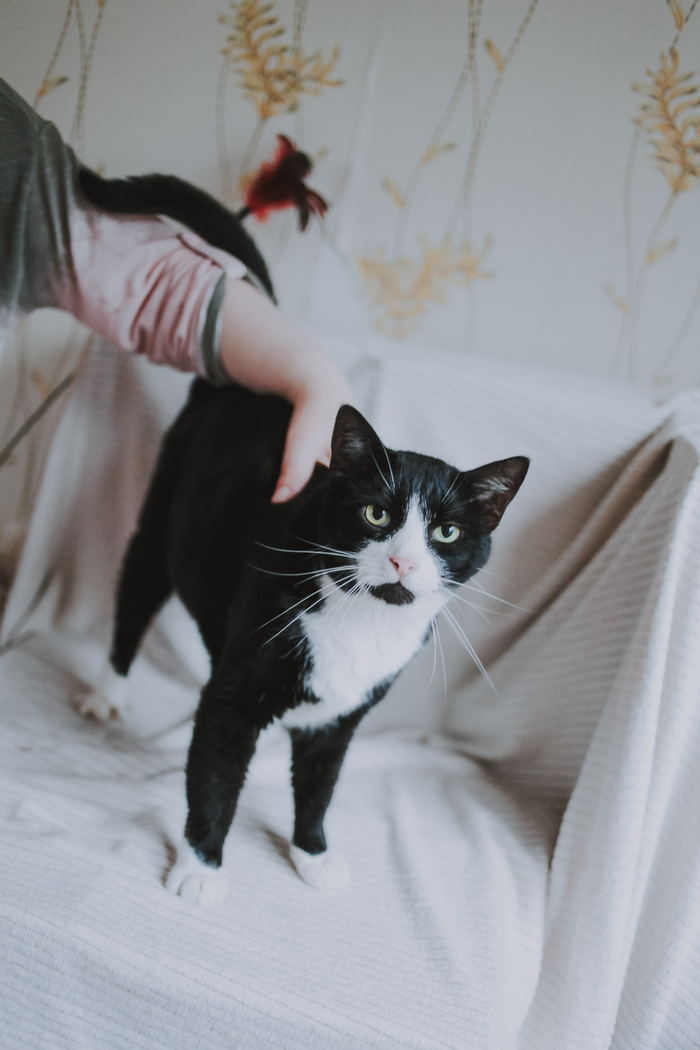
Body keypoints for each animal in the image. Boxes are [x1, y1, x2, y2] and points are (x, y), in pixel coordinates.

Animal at [77, 169, 529, 906]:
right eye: (376, 515)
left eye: (446, 531)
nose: (403, 560)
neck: (361, 623)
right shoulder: (233, 699)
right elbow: (215, 777)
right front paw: (201, 866)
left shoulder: (340, 720)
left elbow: (319, 785)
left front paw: (313, 853)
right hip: (160, 523)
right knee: (133, 598)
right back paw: (107, 693)